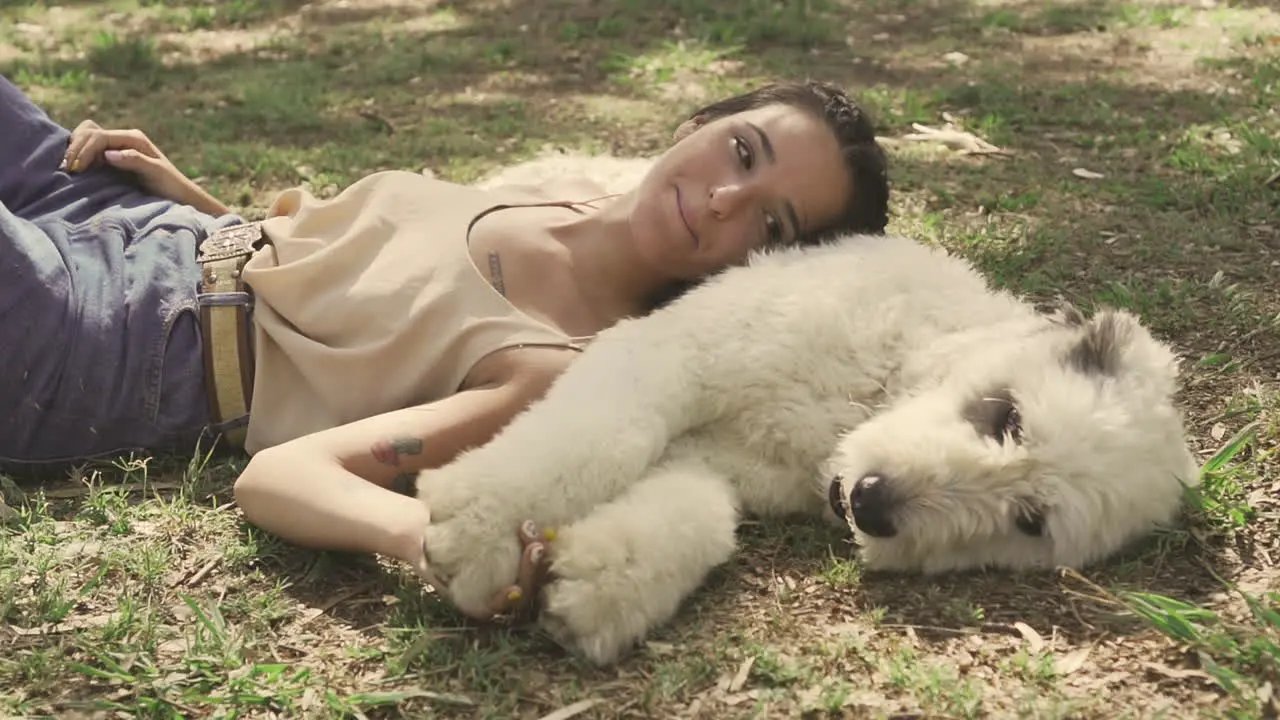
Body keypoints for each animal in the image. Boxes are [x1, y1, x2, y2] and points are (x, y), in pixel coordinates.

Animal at [417, 161, 1198, 661]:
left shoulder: (721, 460)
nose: (875, 503)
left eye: (1030, 522)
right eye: (1005, 416)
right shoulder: (675, 352)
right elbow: (605, 435)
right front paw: (475, 528)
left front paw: (598, 589)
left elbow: (699, 512)